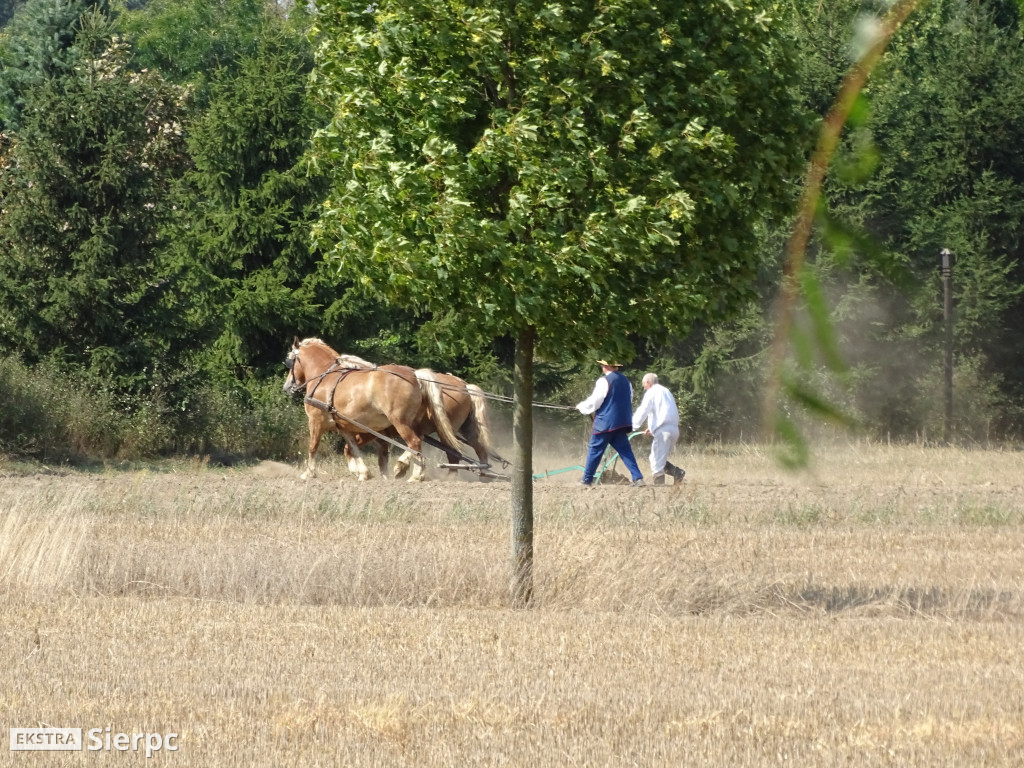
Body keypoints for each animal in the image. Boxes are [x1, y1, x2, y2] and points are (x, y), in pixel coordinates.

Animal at [278, 337, 458, 481]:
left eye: (289, 362)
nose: (286, 387)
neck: (324, 377)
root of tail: (414, 374)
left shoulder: (315, 421)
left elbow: (313, 447)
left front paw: (308, 473)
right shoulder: (343, 425)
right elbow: (352, 448)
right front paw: (363, 472)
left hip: (400, 422)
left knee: (414, 443)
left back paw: (414, 475)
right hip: (412, 423)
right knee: (418, 440)